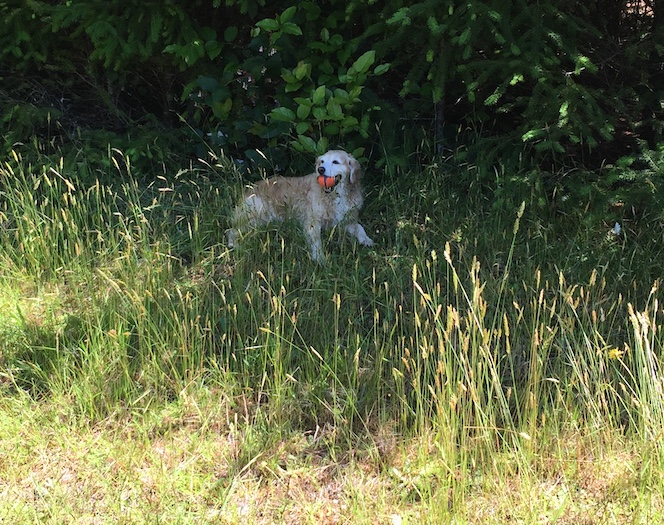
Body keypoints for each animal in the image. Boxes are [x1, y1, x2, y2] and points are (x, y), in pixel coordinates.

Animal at [227, 150, 374, 262]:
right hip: (258, 214)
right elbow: (316, 242)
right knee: (231, 231)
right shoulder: (312, 224)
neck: (336, 196)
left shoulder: (346, 220)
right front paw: (319, 258)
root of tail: (247, 190)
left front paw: (366, 240)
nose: (320, 170)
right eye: (322, 162)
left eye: (335, 162)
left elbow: (360, 228)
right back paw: (236, 247)